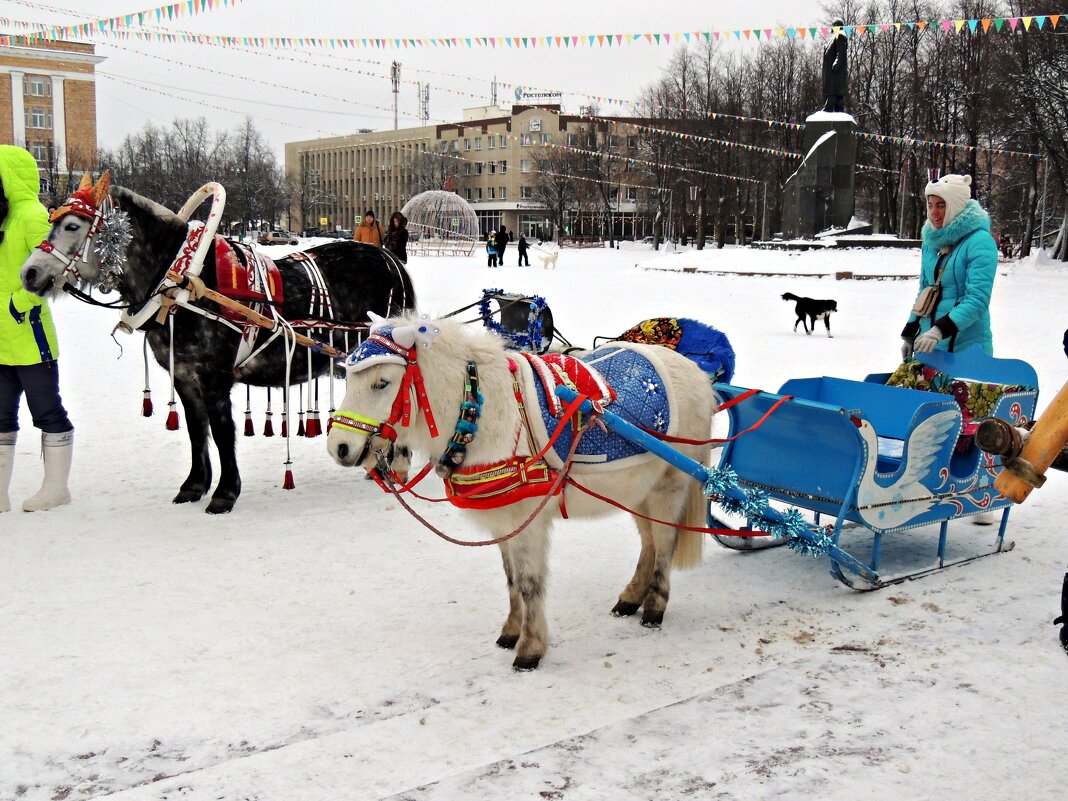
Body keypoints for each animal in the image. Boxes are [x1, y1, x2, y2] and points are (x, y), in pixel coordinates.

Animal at [324, 313, 717, 670]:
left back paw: (654, 608)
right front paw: (511, 633)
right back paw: (630, 599)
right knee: (649, 543)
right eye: (348, 378)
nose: (339, 447)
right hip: (637, 492)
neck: (485, 417)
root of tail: (696, 372)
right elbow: (511, 579)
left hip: (668, 486)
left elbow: (529, 583)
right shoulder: (503, 520)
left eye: (383, 382)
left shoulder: (527, 522)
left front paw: (530, 649)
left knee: (664, 542)